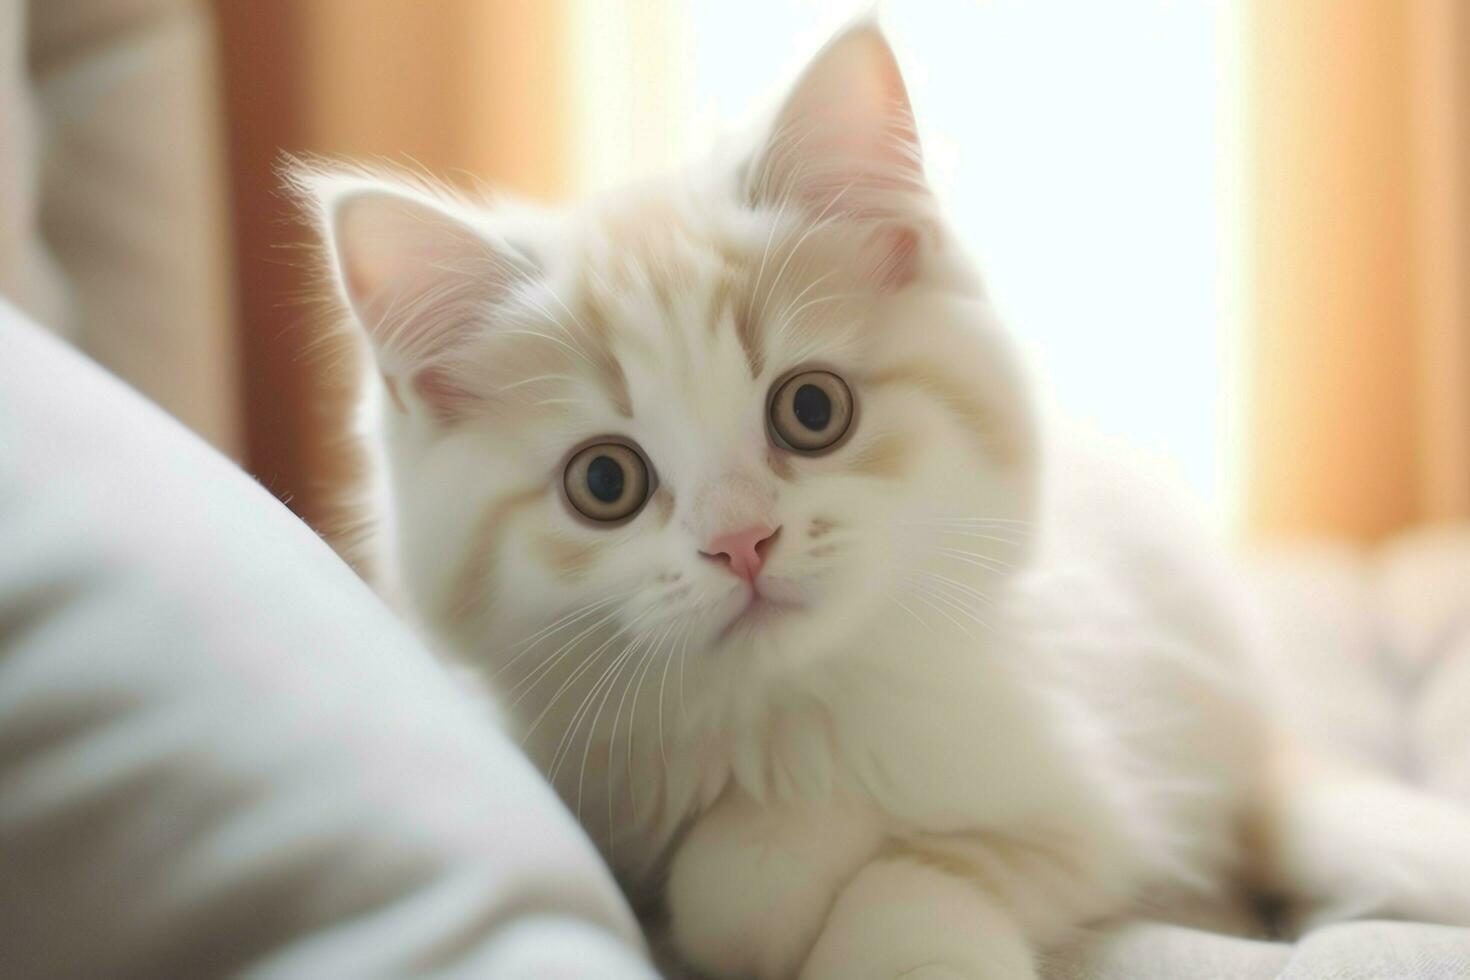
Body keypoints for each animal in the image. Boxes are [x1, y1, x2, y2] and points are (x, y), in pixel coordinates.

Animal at [295, 21, 1470, 980]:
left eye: (812, 409)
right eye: (605, 482)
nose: (743, 540)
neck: (778, 731)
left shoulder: (1082, 796)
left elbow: (909, 874)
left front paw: (812, 882)